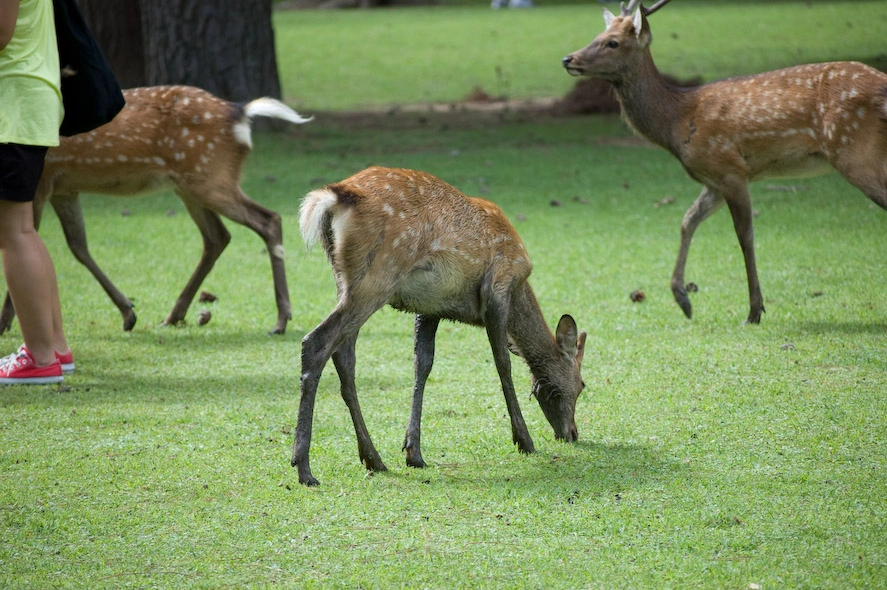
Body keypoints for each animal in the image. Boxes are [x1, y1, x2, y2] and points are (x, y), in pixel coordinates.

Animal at [0, 86, 312, 338]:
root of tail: (241, 112)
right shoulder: (64, 186)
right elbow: (78, 246)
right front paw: (128, 313)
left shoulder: (39, 180)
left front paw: (4, 323)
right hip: (189, 185)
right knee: (217, 237)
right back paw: (173, 316)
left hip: (209, 176)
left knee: (268, 219)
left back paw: (280, 320)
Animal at [292, 165, 588, 486]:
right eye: (582, 385)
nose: (572, 433)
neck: (520, 286)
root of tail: (333, 198)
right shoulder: (496, 289)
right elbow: (503, 364)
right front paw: (525, 441)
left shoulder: (429, 308)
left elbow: (422, 364)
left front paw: (413, 452)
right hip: (377, 277)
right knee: (316, 342)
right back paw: (304, 467)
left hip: (345, 281)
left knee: (344, 356)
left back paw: (373, 458)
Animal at [560, 0, 887, 326]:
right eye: (598, 34)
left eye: (612, 42)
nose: (568, 58)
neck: (677, 123)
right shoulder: (713, 180)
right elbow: (687, 221)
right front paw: (683, 299)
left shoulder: (730, 169)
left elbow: (745, 236)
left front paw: (754, 311)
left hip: (853, 151)